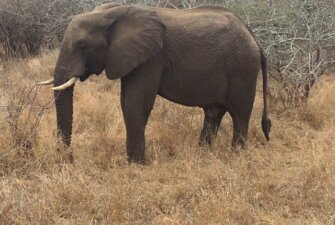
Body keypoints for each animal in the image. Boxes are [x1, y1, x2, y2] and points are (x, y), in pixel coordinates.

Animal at [38, 2, 272, 163]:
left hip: (242, 67)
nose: (68, 157)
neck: (110, 13)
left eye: (83, 46)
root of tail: (254, 37)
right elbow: (126, 102)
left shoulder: (151, 58)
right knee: (213, 113)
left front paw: (135, 164)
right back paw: (203, 153)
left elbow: (135, 103)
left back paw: (236, 155)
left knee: (239, 113)